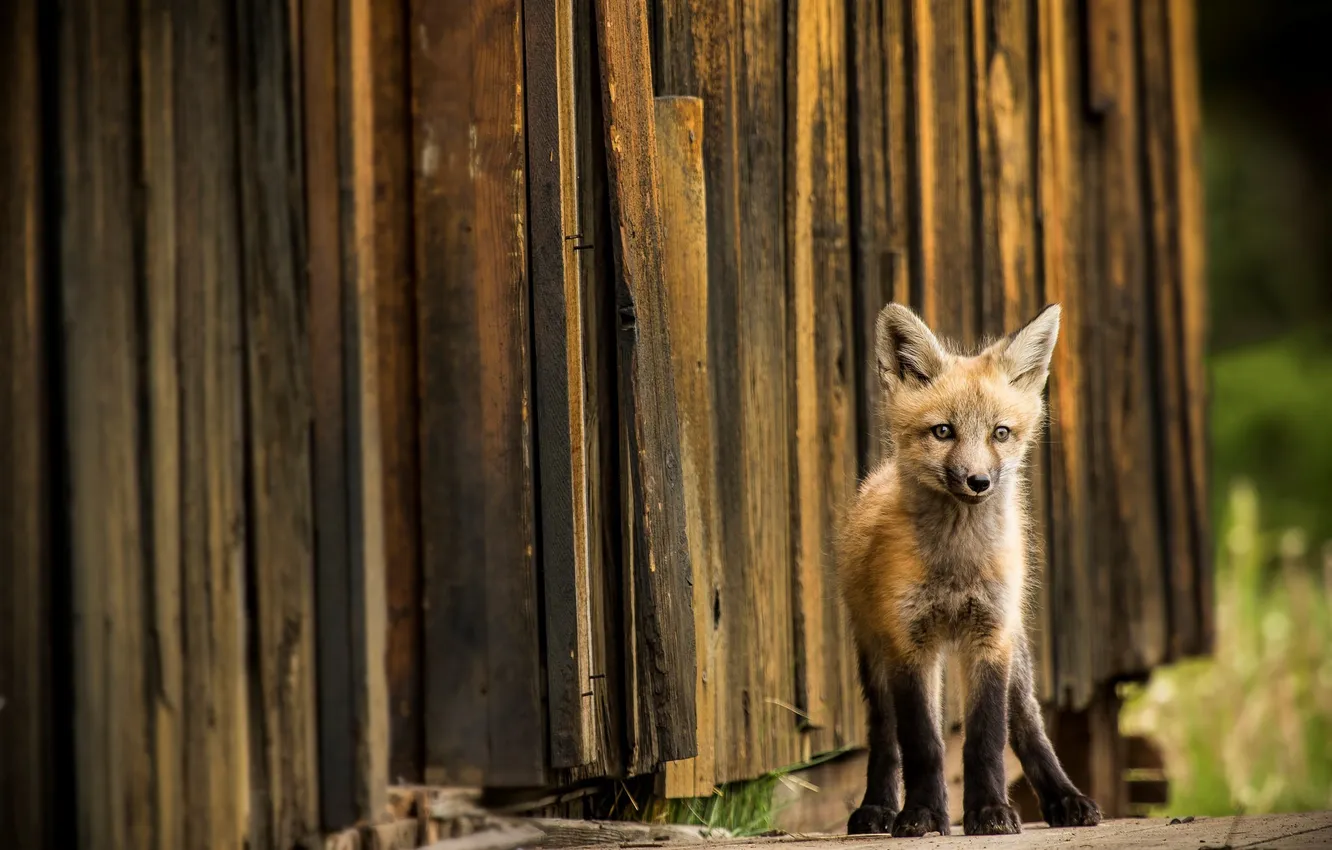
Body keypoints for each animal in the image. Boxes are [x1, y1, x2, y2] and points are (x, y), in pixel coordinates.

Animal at [837, 302, 1102, 837]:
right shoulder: (909, 642)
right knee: (885, 736)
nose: (978, 481)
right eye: (943, 431)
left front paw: (989, 811)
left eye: (1000, 433)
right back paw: (878, 807)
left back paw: (1065, 798)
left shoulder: (988, 638)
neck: (956, 567)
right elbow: (922, 742)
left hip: (1014, 650)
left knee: (1028, 726)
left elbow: (985, 737)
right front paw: (921, 814)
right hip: (875, 654)